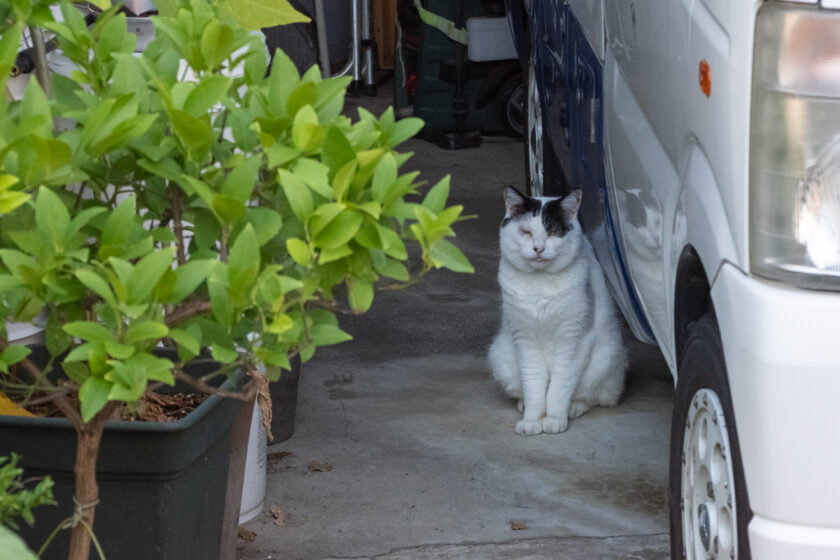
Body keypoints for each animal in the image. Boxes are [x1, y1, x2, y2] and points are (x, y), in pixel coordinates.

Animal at [488, 186, 628, 436]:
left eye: (553, 232)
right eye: (526, 232)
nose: (538, 248)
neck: (540, 285)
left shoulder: (572, 341)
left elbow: (559, 388)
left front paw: (553, 418)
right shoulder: (525, 341)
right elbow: (534, 386)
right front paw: (532, 419)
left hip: (607, 357)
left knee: (593, 397)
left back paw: (574, 408)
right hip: (500, 354)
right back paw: (522, 404)